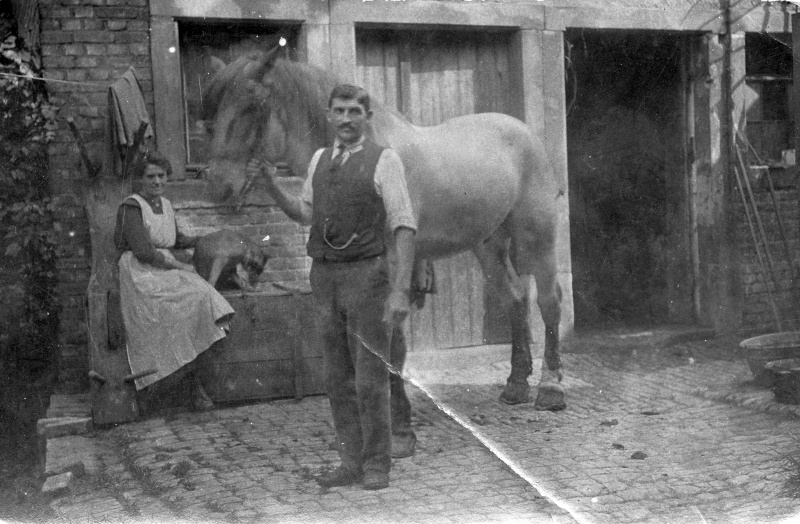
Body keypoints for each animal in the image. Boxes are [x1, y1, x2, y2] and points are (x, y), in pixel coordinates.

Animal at [202, 46, 564, 414]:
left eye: (254, 105)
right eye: (213, 112)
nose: (219, 184)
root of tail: (525, 132)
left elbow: (389, 332)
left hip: (538, 236)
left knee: (549, 300)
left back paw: (551, 389)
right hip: (488, 243)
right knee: (516, 298)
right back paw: (516, 385)